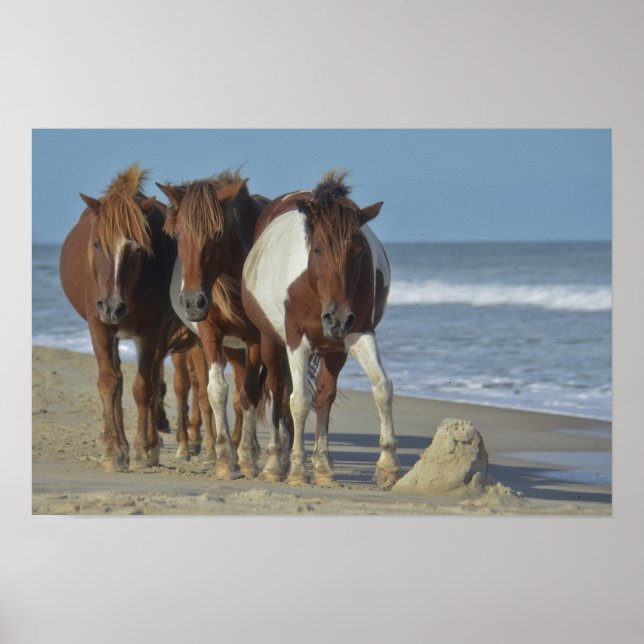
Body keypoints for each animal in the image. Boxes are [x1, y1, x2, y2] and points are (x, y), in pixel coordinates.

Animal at [60, 165, 190, 471]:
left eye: (137, 249)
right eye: (97, 244)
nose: (112, 307)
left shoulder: (151, 330)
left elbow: (143, 386)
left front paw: (143, 450)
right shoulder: (98, 326)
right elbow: (109, 382)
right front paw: (113, 450)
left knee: (152, 379)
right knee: (117, 380)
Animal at [157, 170, 269, 480]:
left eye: (217, 234)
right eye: (178, 233)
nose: (193, 302)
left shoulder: (256, 338)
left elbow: (250, 394)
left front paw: (246, 458)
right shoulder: (210, 334)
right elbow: (217, 390)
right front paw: (225, 460)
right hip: (230, 346)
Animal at [241, 170, 401, 488]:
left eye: (359, 252)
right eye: (317, 249)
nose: (337, 319)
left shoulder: (358, 334)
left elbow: (381, 387)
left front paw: (387, 467)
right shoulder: (296, 340)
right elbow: (299, 401)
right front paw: (298, 471)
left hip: (333, 349)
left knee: (324, 394)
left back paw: (321, 466)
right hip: (270, 341)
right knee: (277, 389)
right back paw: (275, 463)